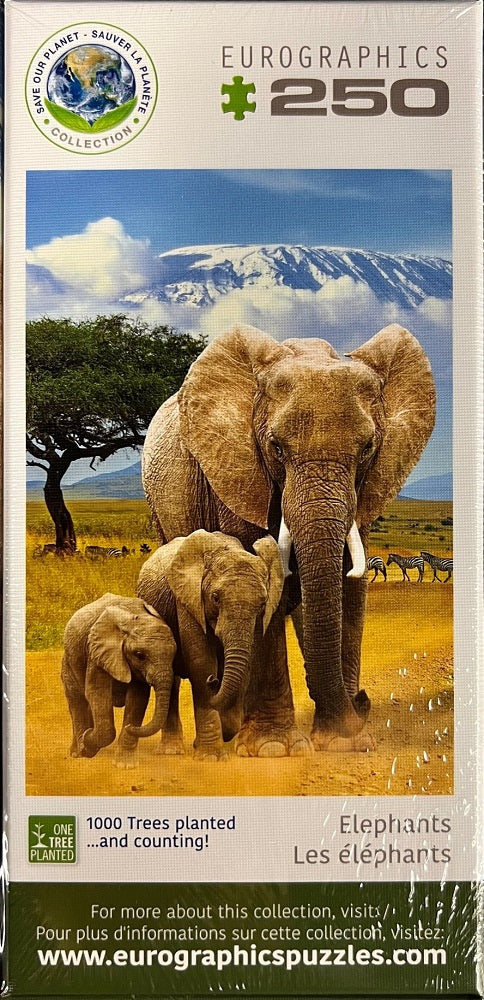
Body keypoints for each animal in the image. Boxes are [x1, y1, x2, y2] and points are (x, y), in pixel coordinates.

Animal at [61, 593, 176, 768]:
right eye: (139, 655)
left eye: (174, 654)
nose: (130, 727)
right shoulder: (97, 651)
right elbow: (97, 693)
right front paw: (87, 745)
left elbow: (137, 699)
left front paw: (125, 765)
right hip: (68, 661)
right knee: (77, 701)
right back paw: (78, 752)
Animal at [136, 529, 284, 759]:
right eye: (215, 597)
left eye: (262, 603)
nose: (213, 680)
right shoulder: (188, 599)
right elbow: (201, 661)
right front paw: (210, 756)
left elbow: (246, 663)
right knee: (170, 680)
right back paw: (171, 751)